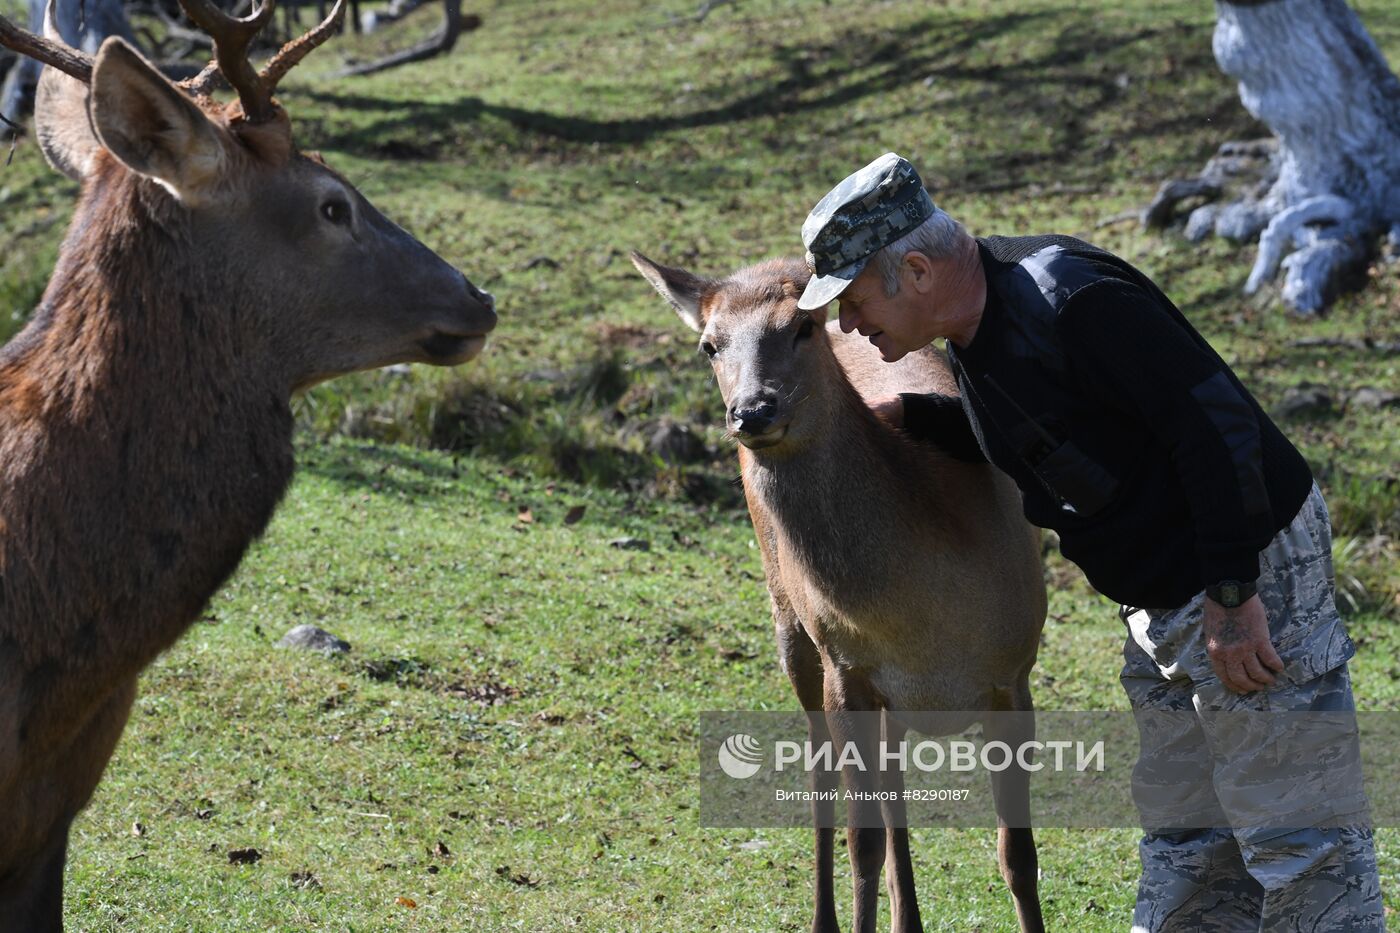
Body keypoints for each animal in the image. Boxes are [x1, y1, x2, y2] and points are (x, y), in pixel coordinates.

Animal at [641, 252, 1047, 930]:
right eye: (708, 345)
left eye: (800, 326)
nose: (752, 411)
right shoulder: (847, 669)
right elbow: (864, 843)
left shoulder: (1014, 672)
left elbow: (1017, 852)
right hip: (792, 627)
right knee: (824, 777)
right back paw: (825, 918)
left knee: (894, 789)